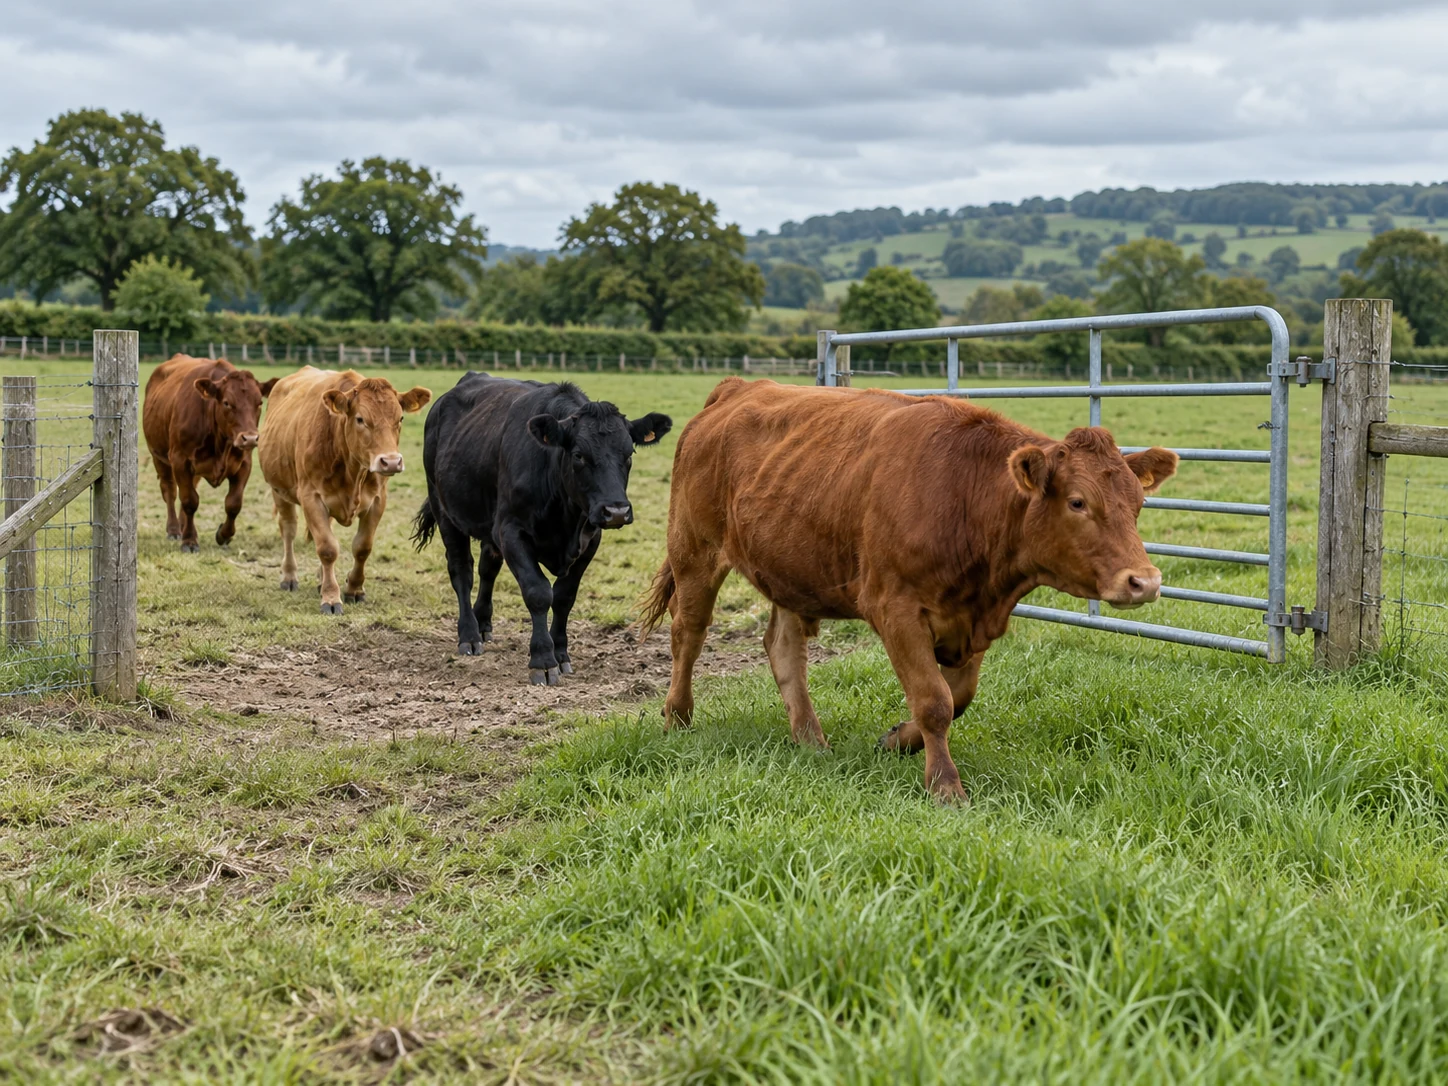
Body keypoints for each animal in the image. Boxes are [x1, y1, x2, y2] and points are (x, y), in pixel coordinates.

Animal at [142, 355, 278, 552]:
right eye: (227, 402)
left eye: (259, 403)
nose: (250, 438)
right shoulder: (180, 460)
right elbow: (189, 500)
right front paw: (189, 541)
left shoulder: (244, 464)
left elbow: (233, 503)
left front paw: (224, 535)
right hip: (159, 457)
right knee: (170, 491)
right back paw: (174, 529)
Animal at [257, 367, 431, 614]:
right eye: (360, 419)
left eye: (400, 418)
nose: (391, 462)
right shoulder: (311, 497)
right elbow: (327, 548)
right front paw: (331, 597)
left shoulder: (378, 500)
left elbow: (362, 547)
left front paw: (353, 589)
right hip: (279, 490)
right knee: (288, 529)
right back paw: (289, 576)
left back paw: (321, 580)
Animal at [411, 373, 671, 685]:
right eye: (579, 455)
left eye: (628, 453)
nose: (616, 511)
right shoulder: (511, 532)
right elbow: (538, 592)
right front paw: (543, 659)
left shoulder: (589, 539)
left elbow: (563, 597)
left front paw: (561, 653)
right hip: (444, 510)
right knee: (461, 571)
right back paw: (470, 634)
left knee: (487, 568)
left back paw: (483, 622)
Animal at [638, 378, 1177, 802]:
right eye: (1078, 502)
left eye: (1138, 503)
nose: (1144, 581)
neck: (965, 495)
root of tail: (738, 387)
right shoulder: (895, 608)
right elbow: (935, 701)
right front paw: (945, 786)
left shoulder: (970, 617)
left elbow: (958, 696)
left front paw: (897, 740)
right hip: (694, 550)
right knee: (688, 633)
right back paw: (677, 719)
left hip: (787, 567)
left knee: (783, 648)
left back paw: (810, 739)